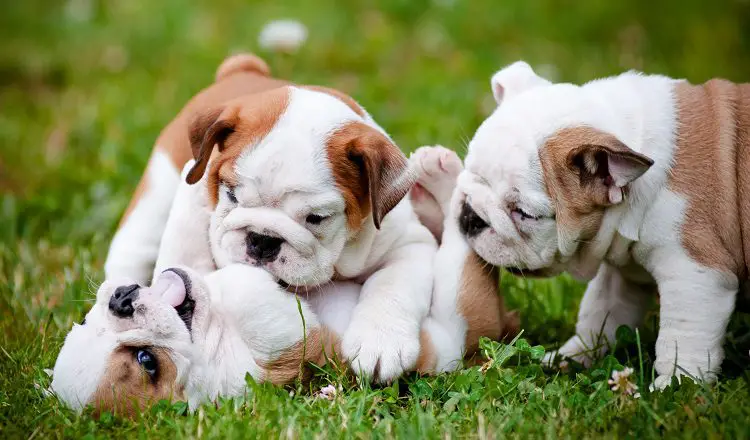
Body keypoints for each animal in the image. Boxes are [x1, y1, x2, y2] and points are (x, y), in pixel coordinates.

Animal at [103, 51, 438, 384]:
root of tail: (242, 70)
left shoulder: (409, 244)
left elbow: (392, 284)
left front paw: (381, 342)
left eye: (316, 218)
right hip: (155, 198)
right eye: (231, 196)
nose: (262, 240)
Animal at [452, 61, 750, 388]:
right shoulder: (621, 270)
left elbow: (682, 336)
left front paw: (675, 385)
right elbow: (599, 315)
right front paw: (569, 358)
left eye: (523, 213)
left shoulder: (694, 273)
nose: (469, 216)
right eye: (469, 173)